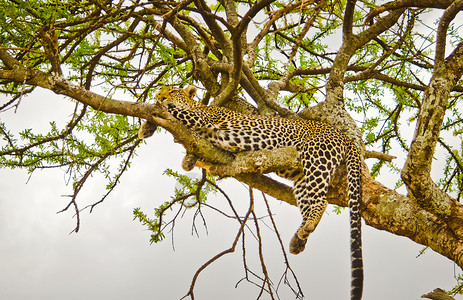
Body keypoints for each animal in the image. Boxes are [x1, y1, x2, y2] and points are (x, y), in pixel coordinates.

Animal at [140, 85, 364, 300]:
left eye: (172, 91)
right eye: (160, 91)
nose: (160, 96)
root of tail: (341, 133)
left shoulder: (201, 118)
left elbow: (172, 110)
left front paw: (154, 113)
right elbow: (191, 156)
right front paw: (151, 130)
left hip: (317, 158)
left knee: (321, 200)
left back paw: (306, 227)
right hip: (301, 177)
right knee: (309, 201)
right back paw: (298, 239)